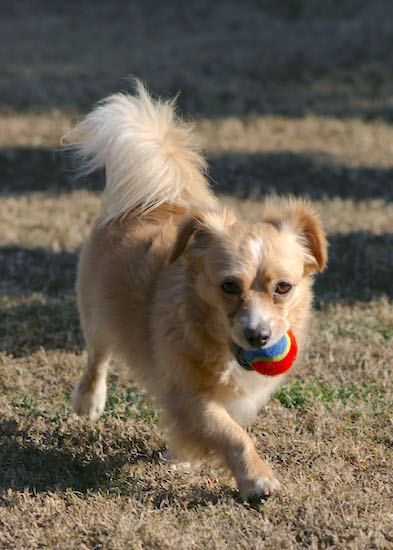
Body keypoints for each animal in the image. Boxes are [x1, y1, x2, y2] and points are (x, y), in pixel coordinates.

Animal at [63, 81, 328, 500]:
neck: (220, 342)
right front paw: (256, 480)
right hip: (96, 309)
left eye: (283, 288)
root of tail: (156, 197)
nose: (259, 336)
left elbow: (215, 428)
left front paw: (183, 455)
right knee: (97, 356)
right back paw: (89, 401)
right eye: (228, 286)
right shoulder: (187, 392)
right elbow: (231, 434)